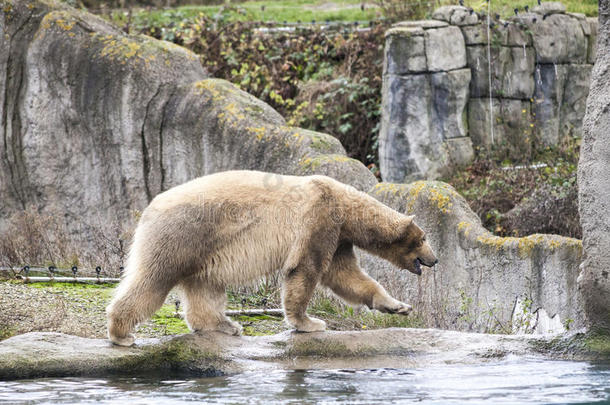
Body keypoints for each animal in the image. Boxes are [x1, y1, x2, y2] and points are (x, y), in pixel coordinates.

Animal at [105, 169, 436, 346]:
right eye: (423, 239)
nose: (434, 260)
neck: (345, 205)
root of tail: (150, 208)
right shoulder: (319, 220)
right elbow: (305, 269)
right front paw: (310, 322)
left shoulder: (339, 237)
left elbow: (346, 275)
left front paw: (398, 306)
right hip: (182, 235)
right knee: (153, 280)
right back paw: (121, 333)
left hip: (204, 249)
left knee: (205, 286)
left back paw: (224, 325)